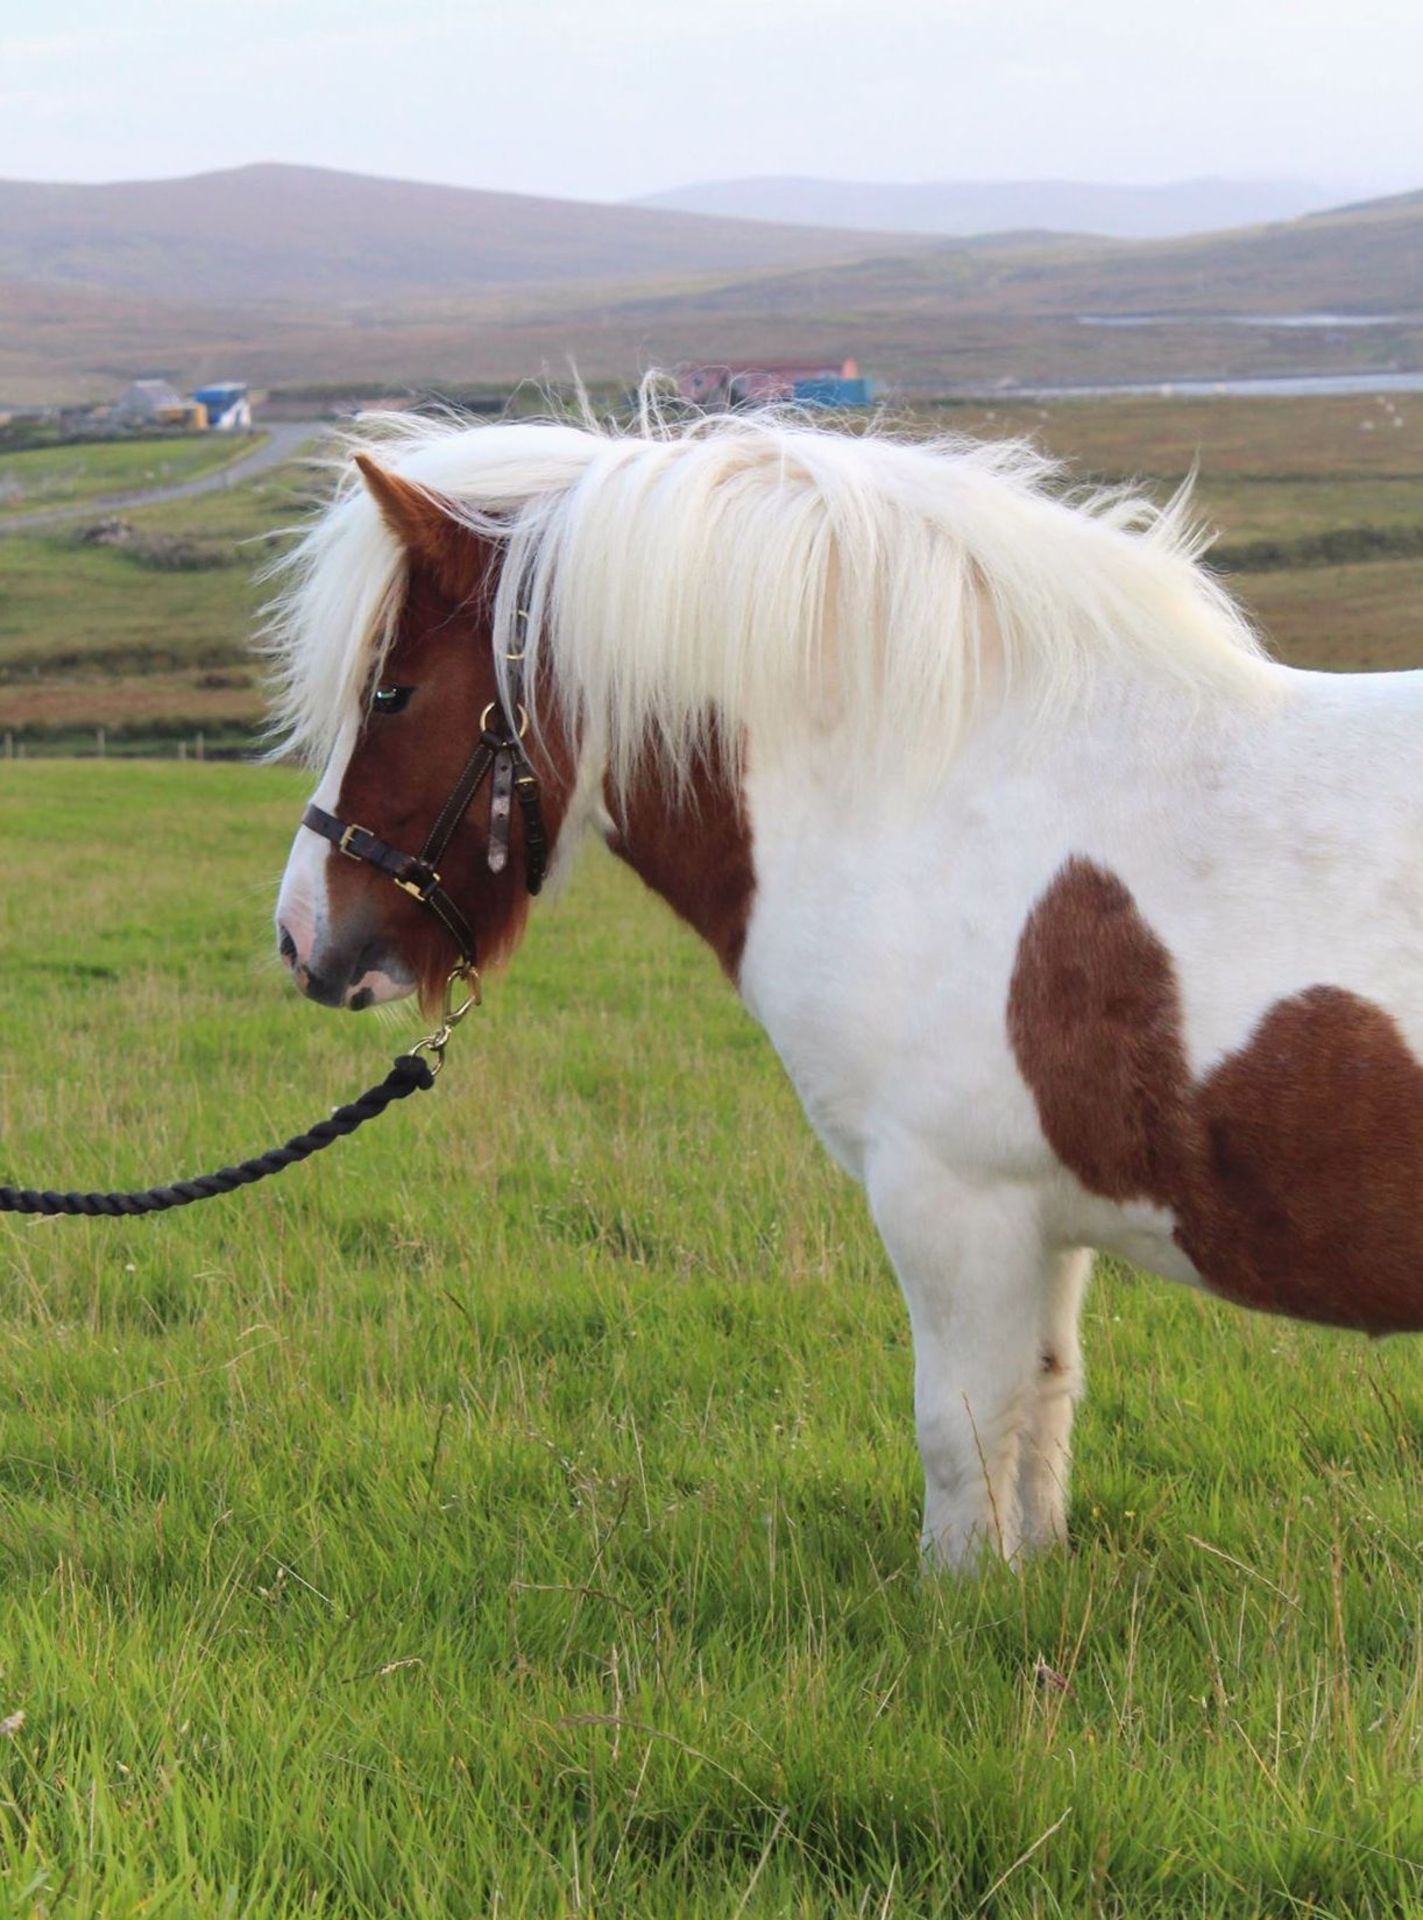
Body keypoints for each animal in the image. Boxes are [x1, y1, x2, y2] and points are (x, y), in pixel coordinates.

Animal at [268, 397, 1421, 1566]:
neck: (947, 792)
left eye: (391, 692)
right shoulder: (1040, 1224)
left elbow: (963, 1440)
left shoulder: (951, 1204)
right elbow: (1040, 1419)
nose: (302, 936)